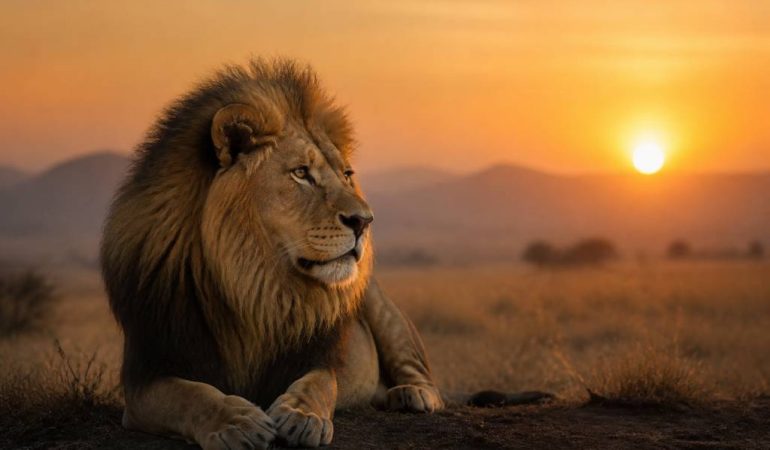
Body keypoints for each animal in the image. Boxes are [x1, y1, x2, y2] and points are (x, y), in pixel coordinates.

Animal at [100, 59, 443, 449]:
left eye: (346, 174)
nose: (364, 221)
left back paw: (411, 394)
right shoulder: (145, 376)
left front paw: (302, 416)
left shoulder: (316, 357)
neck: (254, 285)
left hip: (381, 307)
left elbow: (319, 384)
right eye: (301, 173)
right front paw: (236, 422)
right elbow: (190, 395)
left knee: (418, 370)